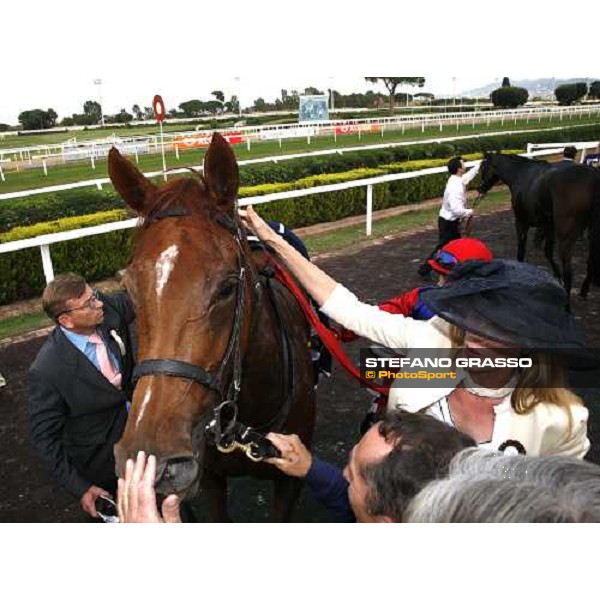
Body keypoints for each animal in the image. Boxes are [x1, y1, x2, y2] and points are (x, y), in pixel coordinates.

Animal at [478, 152, 600, 308]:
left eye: (483, 167)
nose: (480, 188)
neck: (521, 174)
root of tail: (593, 177)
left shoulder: (521, 223)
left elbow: (521, 253)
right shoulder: (548, 226)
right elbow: (547, 252)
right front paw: (557, 278)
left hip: (566, 235)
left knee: (569, 270)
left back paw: (567, 305)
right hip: (591, 231)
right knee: (591, 259)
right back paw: (583, 290)